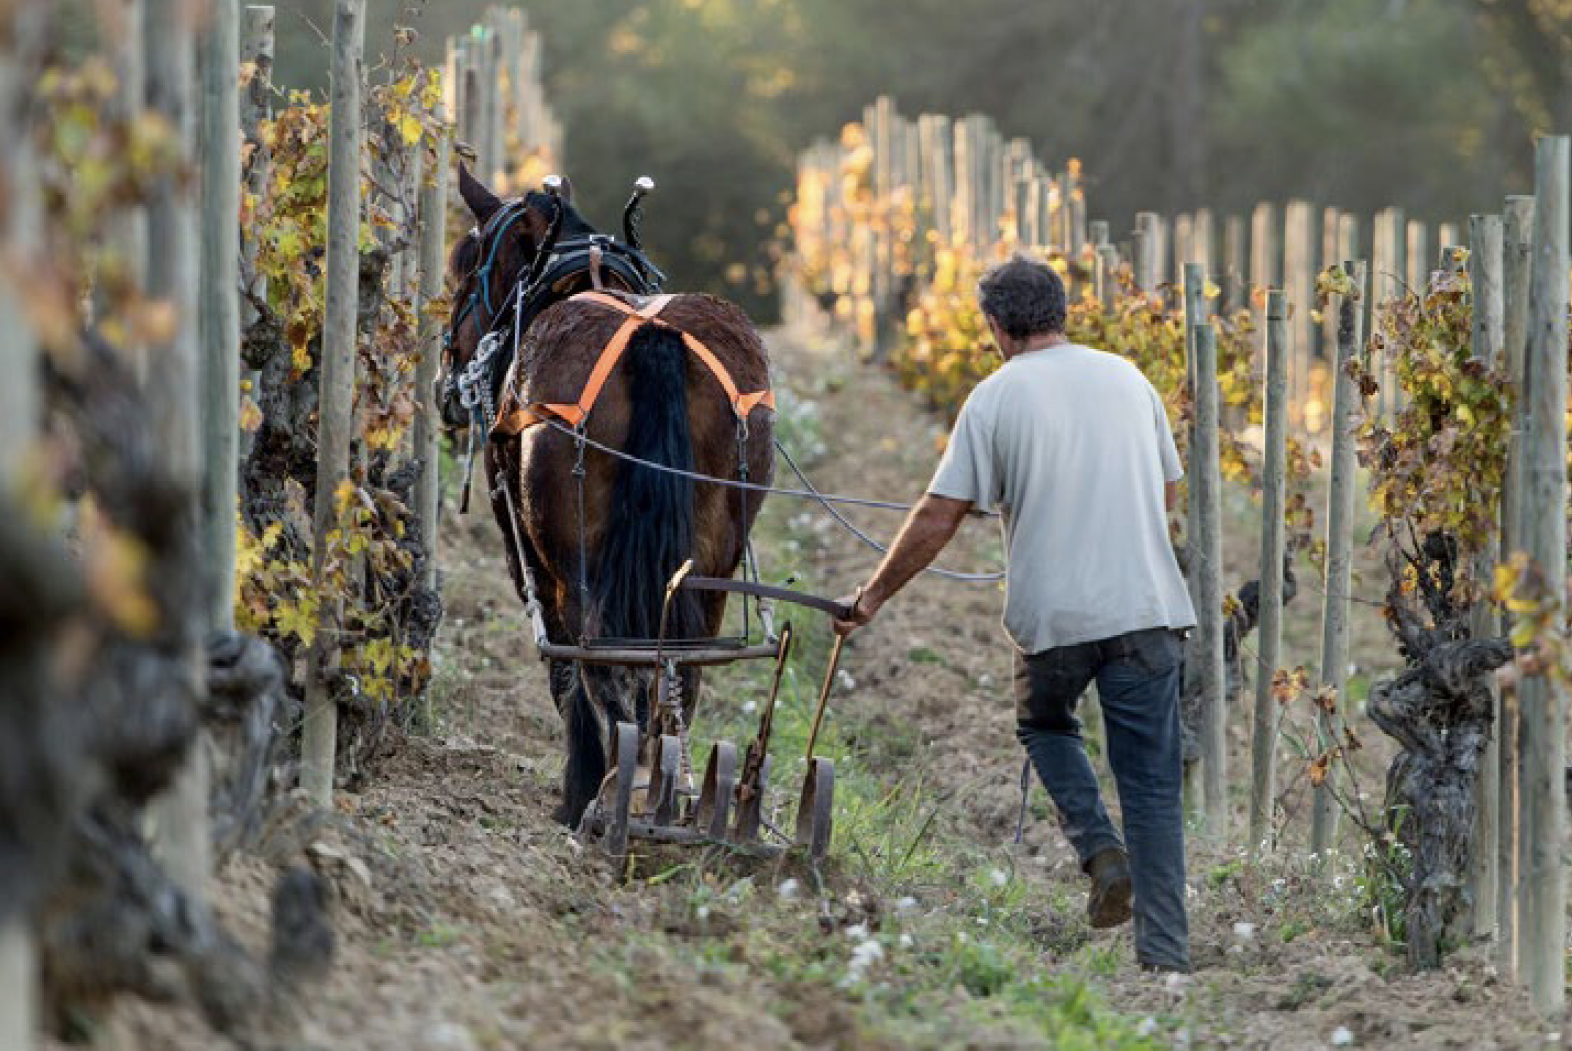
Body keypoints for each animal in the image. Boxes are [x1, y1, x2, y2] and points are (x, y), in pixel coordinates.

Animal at [443, 164, 773, 823]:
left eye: (465, 266)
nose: (449, 376)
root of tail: (655, 334)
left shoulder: (528, 555)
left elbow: (564, 669)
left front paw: (577, 786)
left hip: (576, 560)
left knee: (598, 660)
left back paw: (611, 789)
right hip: (713, 558)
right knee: (682, 664)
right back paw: (664, 786)